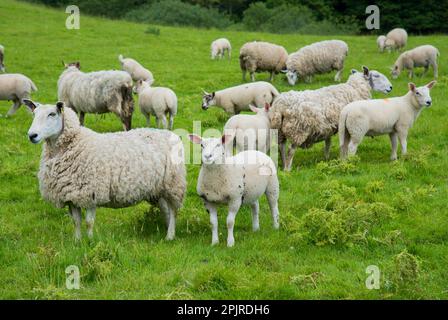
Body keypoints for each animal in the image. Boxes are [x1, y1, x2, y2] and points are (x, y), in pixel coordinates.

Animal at [25, 100, 186, 240]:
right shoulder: (70, 195)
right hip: (158, 188)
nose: (32, 135)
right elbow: (76, 222)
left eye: (52, 114)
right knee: (166, 209)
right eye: (34, 114)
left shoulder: (91, 192)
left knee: (173, 210)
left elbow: (89, 222)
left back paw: (170, 235)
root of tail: (172, 135)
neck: (75, 144)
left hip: (173, 183)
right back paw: (167, 228)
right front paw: (77, 242)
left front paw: (90, 241)